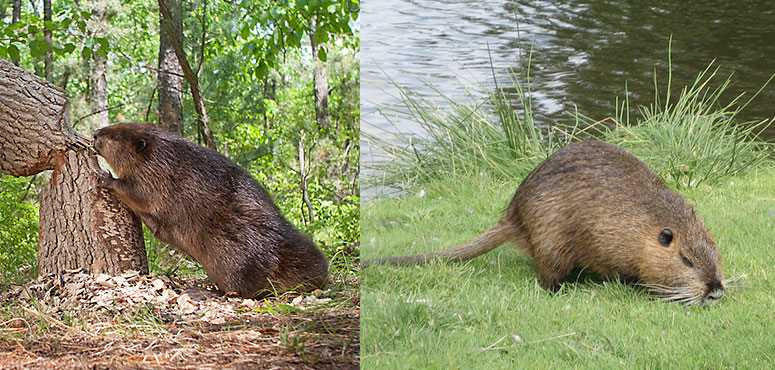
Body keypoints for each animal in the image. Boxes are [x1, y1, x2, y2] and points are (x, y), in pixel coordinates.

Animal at [92, 122, 328, 298]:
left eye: (114, 137)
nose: (95, 134)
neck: (160, 154)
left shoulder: (156, 177)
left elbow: (136, 192)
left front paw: (105, 177)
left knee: (241, 291)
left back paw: (200, 291)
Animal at [364, 140, 728, 304]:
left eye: (715, 250)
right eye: (686, 260)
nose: (715, 290)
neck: (644, 218)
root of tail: (513, 217)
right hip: (550, 240)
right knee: (546, 275)